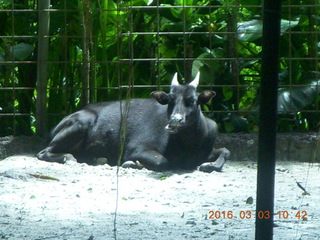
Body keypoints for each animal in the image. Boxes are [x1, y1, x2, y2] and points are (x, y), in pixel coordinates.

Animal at [36, 73, 229, 172]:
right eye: (170, 100)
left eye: (192, 100)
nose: (175, 121)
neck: (187, 145)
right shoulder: (137, 149)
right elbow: (162, 162)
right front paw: (134, 164)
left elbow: (225, 151)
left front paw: (210, 165)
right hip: (80, 123)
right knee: (43, 152)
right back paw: (69, 158)